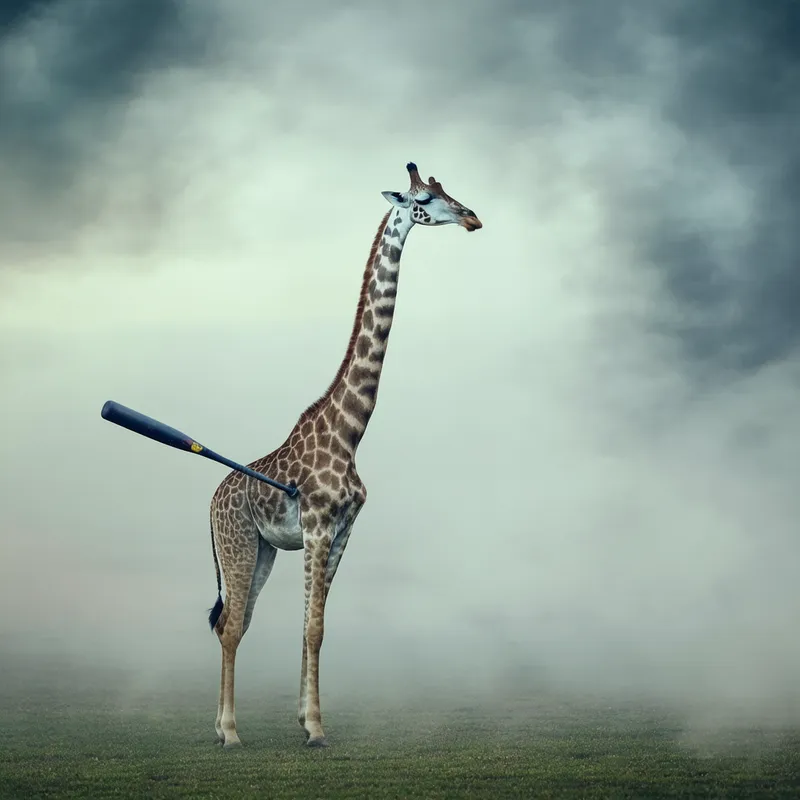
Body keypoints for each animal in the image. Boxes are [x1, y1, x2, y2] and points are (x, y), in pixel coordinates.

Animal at [208, 162, 482, 748]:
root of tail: (212, 499)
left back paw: (222, 728)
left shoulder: (343, 531)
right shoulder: (315, 526)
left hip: (261, 551)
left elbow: (315, 626)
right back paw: (230, 732)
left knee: (231, 622)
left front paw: (307, 721)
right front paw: (314, 729)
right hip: (236, 544)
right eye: (425, 199)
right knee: (232, 624)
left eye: (448, 190)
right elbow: (312, 626)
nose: (473, 217)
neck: (351, 431)